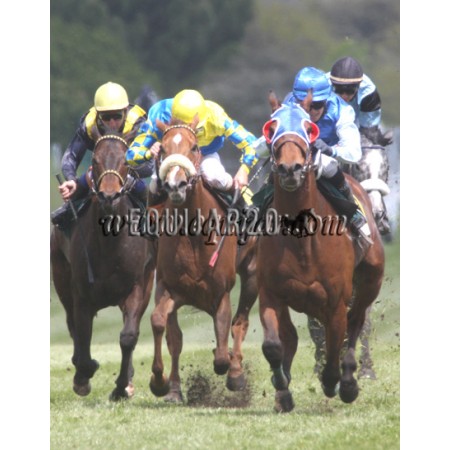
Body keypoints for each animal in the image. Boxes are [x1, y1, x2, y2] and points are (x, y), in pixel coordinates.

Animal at [50, 128, 156, 400]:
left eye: (126, 161)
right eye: (95, 161)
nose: (109, 196)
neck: (111, 242)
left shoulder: (137, 285)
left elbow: (128, 336)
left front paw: (121, 387)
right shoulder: (81, 292)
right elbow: (82, 332)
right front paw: (83, 376)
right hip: (60, 275)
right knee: (72, 324)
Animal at [148, 116, 249, 402]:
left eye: (194, 146)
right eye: (163, 149)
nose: (176, 185)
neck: (193, 234)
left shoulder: (221, 293)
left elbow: (223, 341)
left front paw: (229, 366)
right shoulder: (168, 288)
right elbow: (161, 325)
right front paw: (160, 383)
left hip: (253, 275)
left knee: (241, 323)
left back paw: (236, 373)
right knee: (175, 337)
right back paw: (173, 389)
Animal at [257, 94, 385, 412]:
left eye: (308, 128)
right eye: (271, 127)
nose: (290, 168)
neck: (301, 237)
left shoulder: (336, 301)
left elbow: (338, 340)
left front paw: (334, 381)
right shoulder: (270, 293)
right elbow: (274, 345)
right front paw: (281, 386)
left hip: (370, 282)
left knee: (356, 324)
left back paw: (348, 382)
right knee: (292, 336)